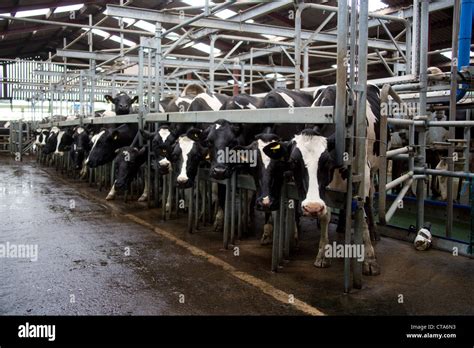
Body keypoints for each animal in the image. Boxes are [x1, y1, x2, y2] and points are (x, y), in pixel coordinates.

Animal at [262, 84, 382, 274]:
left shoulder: (364, 169)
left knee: (370, 199)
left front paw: (369, 259)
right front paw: (323, 254)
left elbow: (361, 211)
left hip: (375, 167)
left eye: (326, 162)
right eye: (293, 162)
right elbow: (327, 213)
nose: (312, 207)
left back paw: (374, 232)